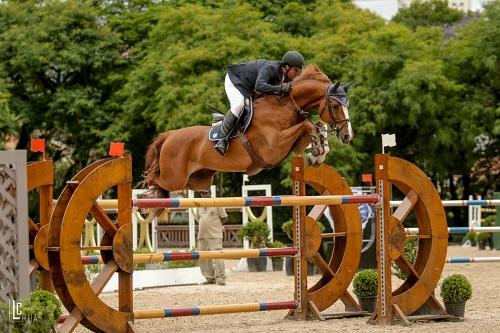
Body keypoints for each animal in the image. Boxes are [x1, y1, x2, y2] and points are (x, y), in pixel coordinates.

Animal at [143, 64, 354, 193]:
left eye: (347, 105)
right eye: (335, 105)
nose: (347, 136)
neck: (285, 106)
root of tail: (169, 135)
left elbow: (317, 126)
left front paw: (319, 152)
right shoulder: (273, 146)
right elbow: (308, 125)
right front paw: (317, 151)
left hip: (198, 180)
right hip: (173, 178)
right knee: (153, 181)